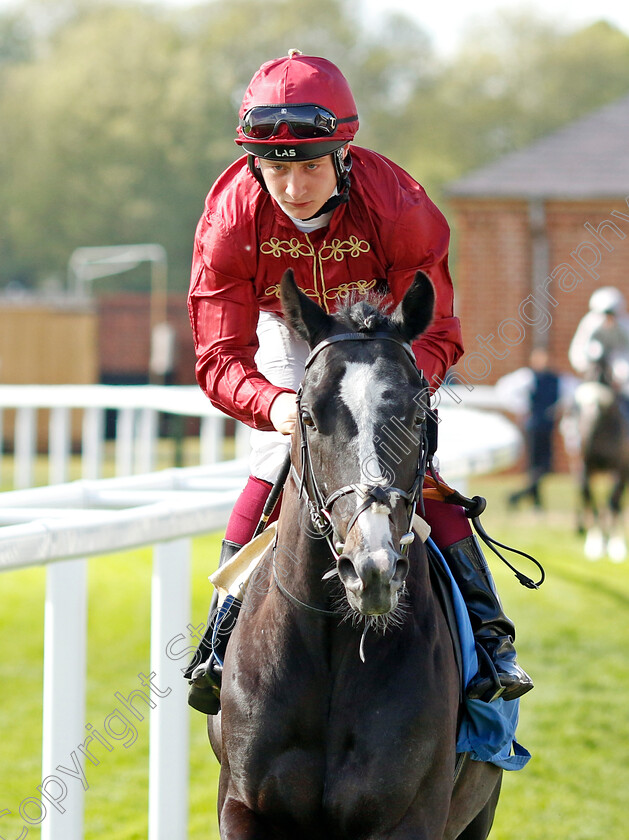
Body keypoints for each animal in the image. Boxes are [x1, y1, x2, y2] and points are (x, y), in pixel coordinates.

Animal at [209, 272, 502, 836]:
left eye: (418, 415)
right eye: (306, 415)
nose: (372, 570)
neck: (331, 640)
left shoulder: (410, 814)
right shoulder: (241, 804)